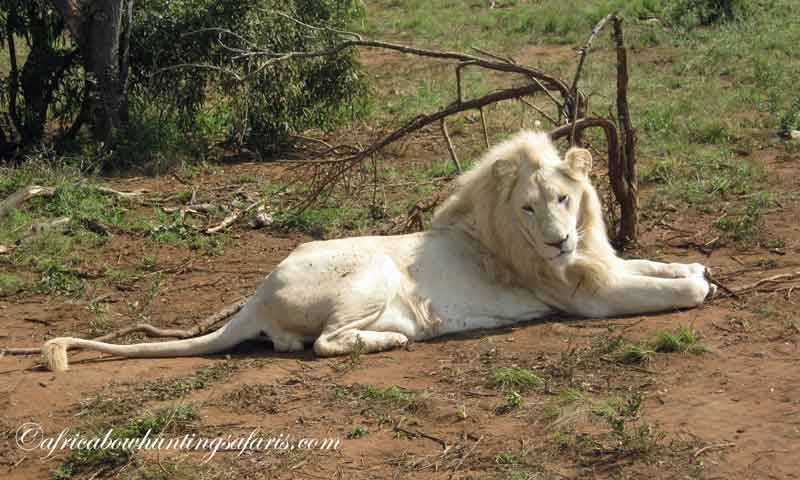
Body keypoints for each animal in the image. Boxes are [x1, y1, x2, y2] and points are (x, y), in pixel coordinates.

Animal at [42, 131, 715, 371]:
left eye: (563, 199)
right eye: (529, 208)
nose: (558, 239)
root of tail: (255, 296)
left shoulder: (601, 262)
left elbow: (649, 264)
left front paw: (692, 264)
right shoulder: (584, 296)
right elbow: (666, 289)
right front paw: (698, 283)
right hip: (371, 273)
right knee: (323, 344)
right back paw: (394, 339)